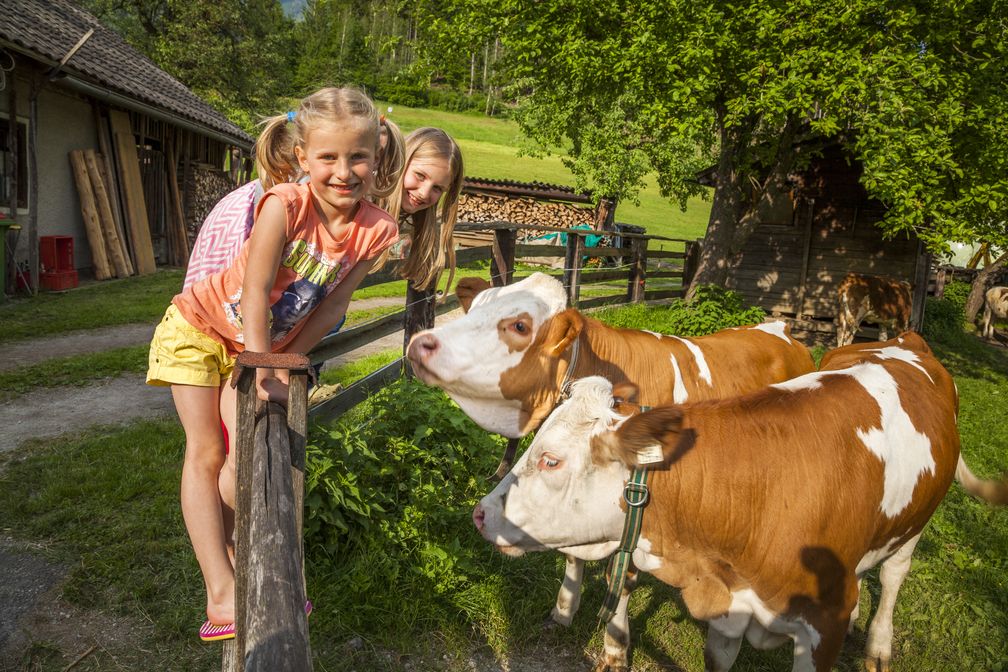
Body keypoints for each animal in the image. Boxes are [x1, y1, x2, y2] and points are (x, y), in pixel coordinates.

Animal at [405, 272, 814, 624]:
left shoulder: (640, 499)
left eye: (520, 325)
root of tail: (780, 329)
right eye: (473, 309)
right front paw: (564, 610)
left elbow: (624, 577)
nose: (421, 343)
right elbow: (572, 557)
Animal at [473, 332, 1008, 672]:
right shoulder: (728, 609)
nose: (480, 513)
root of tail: (907, 338)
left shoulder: (820, 629)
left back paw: (878, 646)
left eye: (551, 461)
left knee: (895, 576)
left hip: (914, 524)